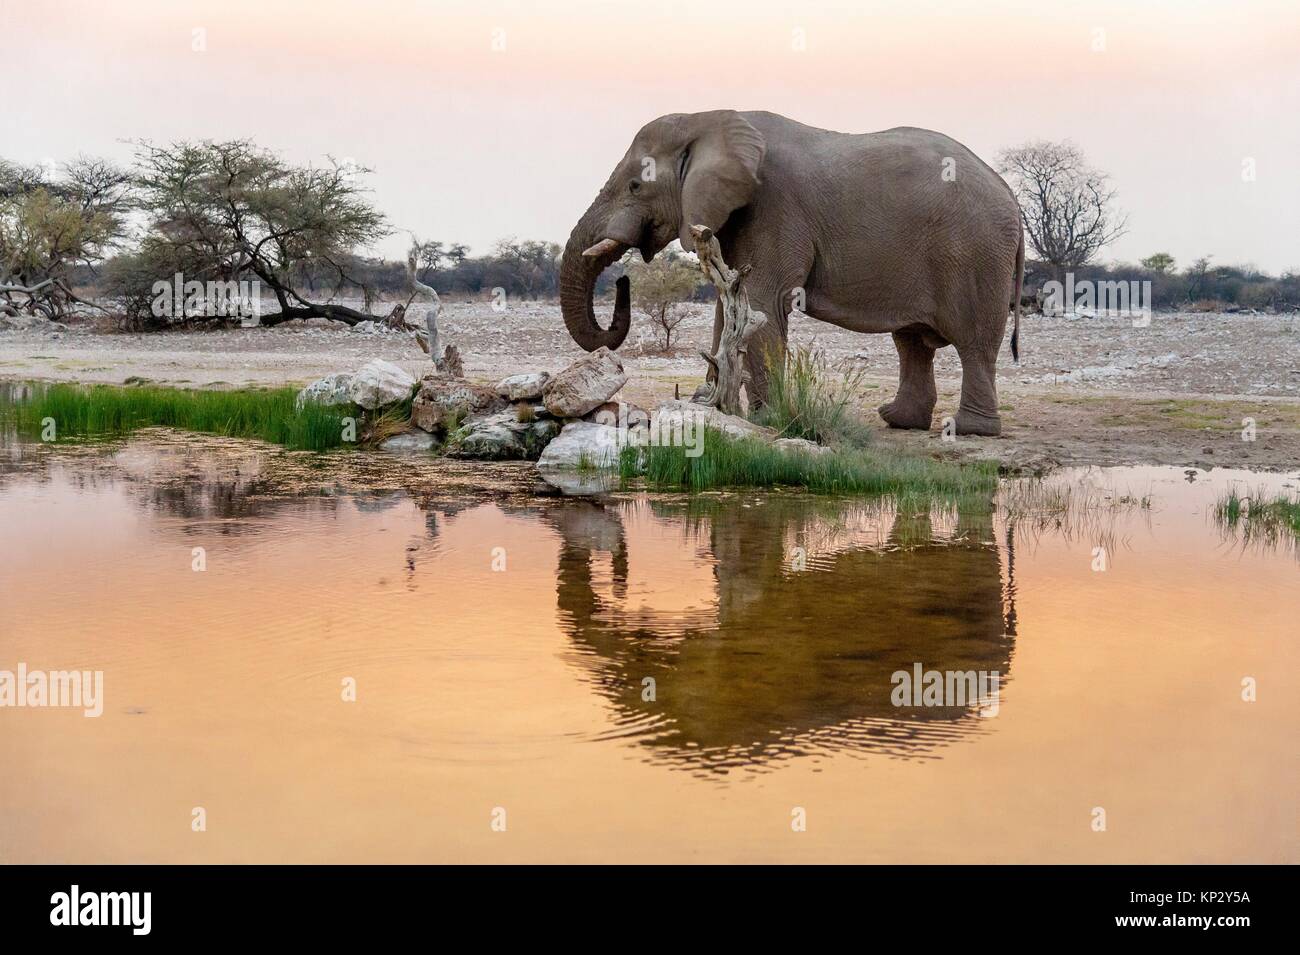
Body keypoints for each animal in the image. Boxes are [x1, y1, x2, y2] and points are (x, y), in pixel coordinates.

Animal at [559, 111, 1024, 436]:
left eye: (636, 186)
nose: (623, 280)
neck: (707, 119)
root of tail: (1011, 196)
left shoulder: (773, 209)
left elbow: (762, 308)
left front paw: (765, 419)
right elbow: (728, 312)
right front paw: (703, 403)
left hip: (975, 254)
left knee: (974, 344)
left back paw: (970, 430)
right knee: (911, 343)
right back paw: (897, 420)